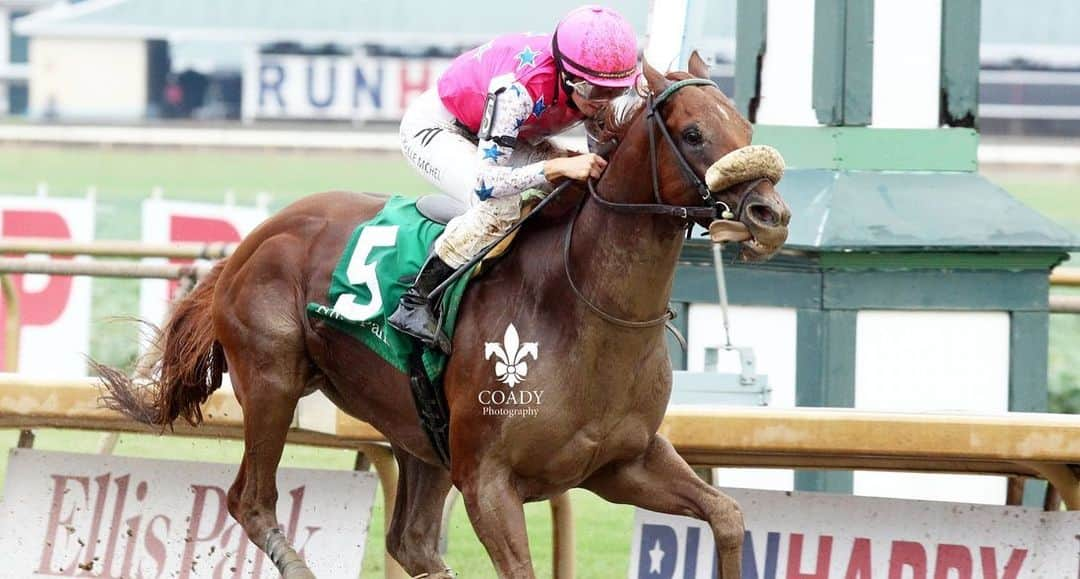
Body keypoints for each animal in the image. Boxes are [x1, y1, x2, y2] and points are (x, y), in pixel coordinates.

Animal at [99, 55, 794, 579]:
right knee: (252, 500)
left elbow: (728, 517)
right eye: (694, 133)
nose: (771, 215)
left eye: (745, 122)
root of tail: (254, 238)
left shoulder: (624, 463)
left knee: (410, 541)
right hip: (272, 381)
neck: (585, 315)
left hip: (416, 434)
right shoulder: (488, 482)